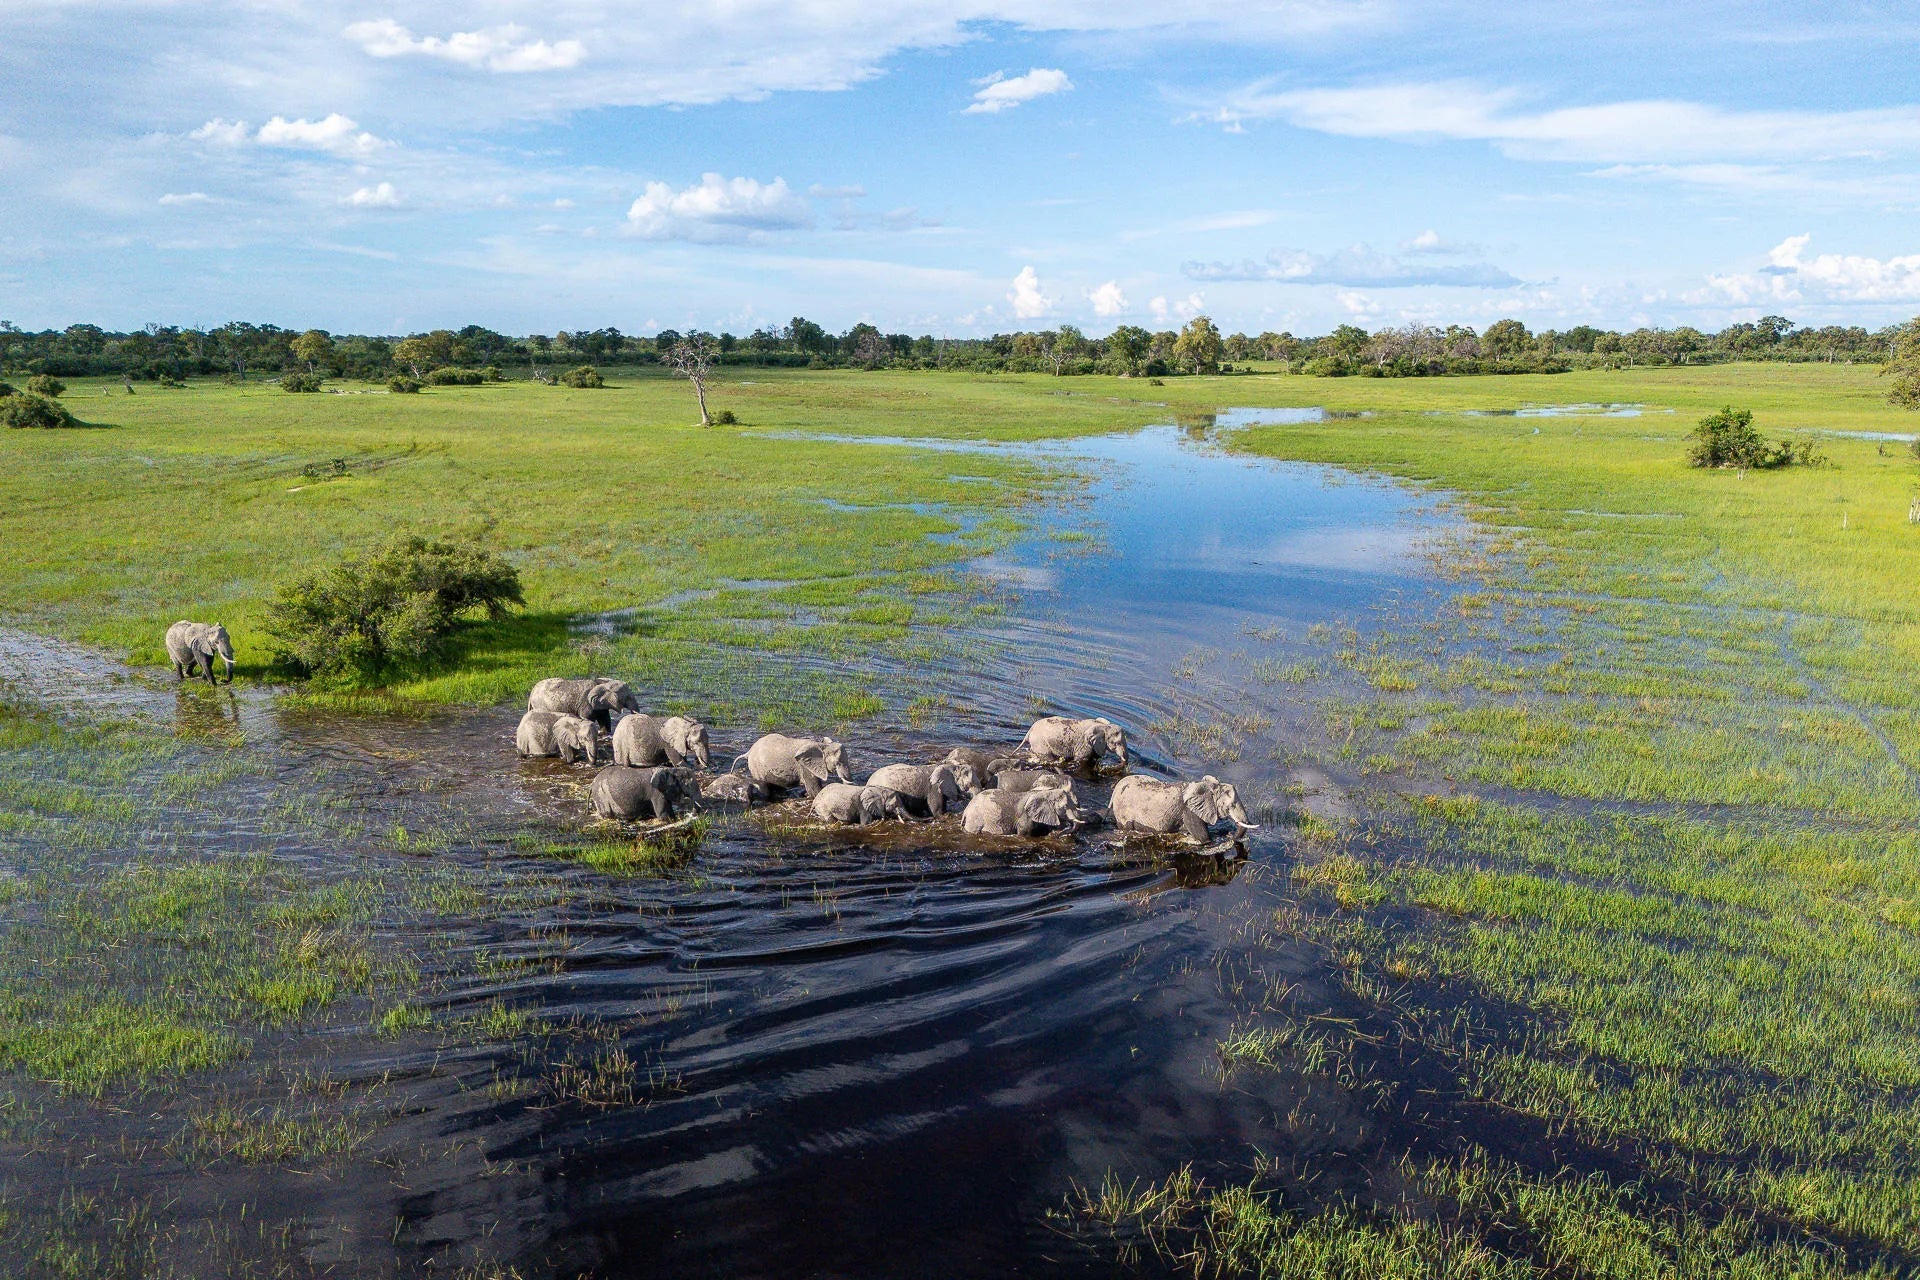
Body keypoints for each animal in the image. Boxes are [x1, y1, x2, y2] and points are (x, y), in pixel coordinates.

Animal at [1109, 774, 1258, 843]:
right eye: (1231, 805)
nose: (1230, 835)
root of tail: (1115, 790)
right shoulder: (1189, 810)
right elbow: (1203, 838)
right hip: (1123, 812)